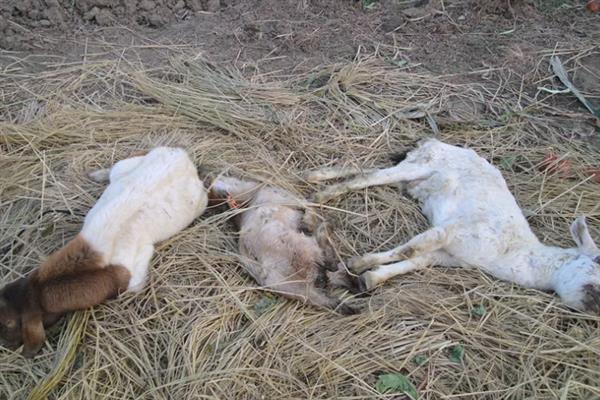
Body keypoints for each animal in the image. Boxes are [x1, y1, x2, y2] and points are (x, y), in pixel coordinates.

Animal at [0, 147, 209, 356]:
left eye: (8, 325)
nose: (7, 346)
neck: (91, 264)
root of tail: (181, 156)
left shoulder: (135, 275)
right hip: (127, 166)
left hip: (201, 201)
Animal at [308, 139, 600, 314]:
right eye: (596, 264)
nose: (595, 306)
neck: (512, 253)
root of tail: (434, 142)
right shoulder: (451, 232)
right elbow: (410, 249)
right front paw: (358, 264)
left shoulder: (448, 257)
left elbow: (414, 262)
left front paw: (369, 277)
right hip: (421, 166)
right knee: (367, 177)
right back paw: (318, 193)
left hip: (412, 171)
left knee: (370, 169)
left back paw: (317, 175)